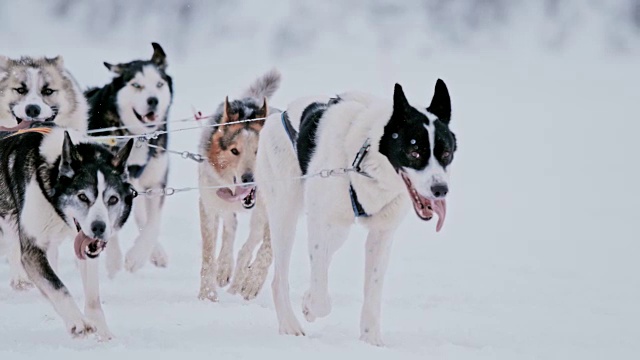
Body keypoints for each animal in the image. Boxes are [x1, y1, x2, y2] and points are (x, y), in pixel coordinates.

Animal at [0, 127, 133, 340]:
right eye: (82, 196)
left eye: (113, 199)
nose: (99, 227)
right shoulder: (33, 249)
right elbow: (57, 286)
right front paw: (78, 322)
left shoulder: (86, 250)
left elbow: (93, 295)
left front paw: (102, 331)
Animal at [86, 42, 175, 276]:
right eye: (136, 85)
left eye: (159, 84)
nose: (153, 100)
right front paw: (114, 259)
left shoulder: (156, 183)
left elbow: (152, 222)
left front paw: (141, 255)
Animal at [252, 80, 458, 344]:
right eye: (415, 152)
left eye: (446, 153)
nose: (440, 189)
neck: (366, 162)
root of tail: (281, 114)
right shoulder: (320, 222)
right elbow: (321, 299)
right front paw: (310, 304)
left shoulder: (381, 235)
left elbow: (372, 293)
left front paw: (371, 342)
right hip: (285, 216)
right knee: (280, 279)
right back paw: (289, 324)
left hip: (337, 232)